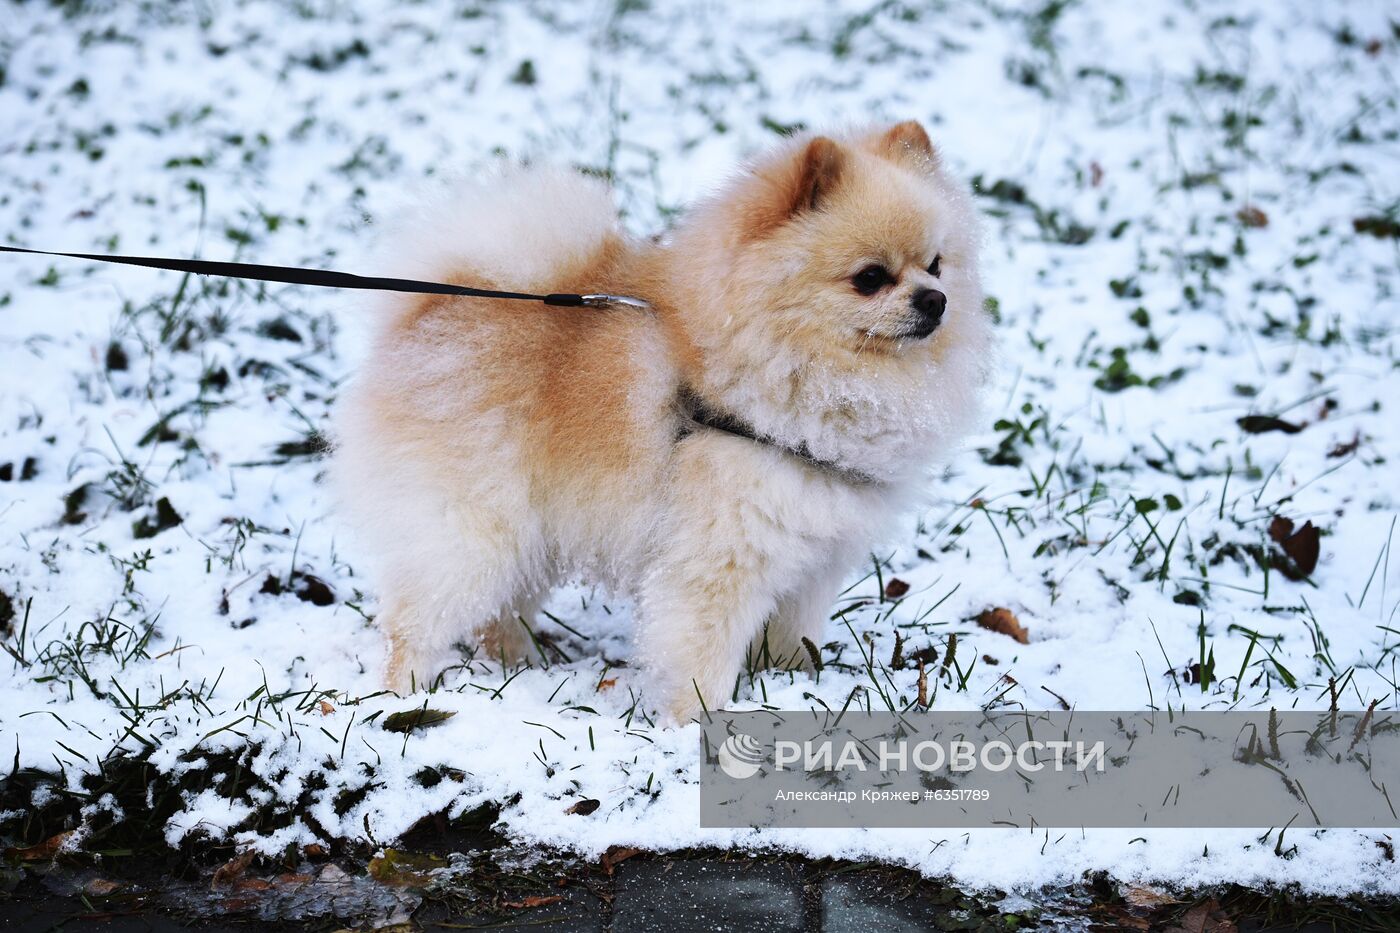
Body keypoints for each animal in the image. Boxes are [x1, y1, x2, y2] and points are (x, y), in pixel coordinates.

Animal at [336, 121, 996, 717]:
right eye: (870, 278)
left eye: (937, 265)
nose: (934, 300)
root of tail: (428, 308)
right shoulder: (718, 557)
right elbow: (701, 655)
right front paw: (696, 724)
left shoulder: (814, 558)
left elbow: (794, 637)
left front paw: (794, 685)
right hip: (473, 530)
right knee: (415, 618)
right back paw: (406, 691)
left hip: (529, 538)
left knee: (498, 612)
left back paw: (518, 665)